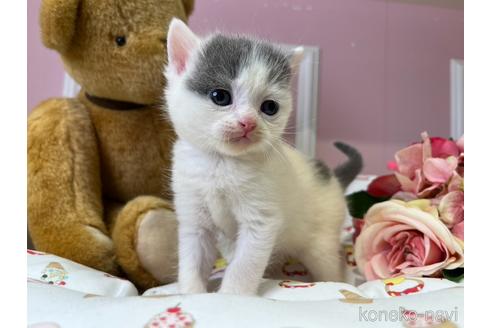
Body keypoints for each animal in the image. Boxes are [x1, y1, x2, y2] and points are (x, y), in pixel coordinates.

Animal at [164, 18, 362, 294]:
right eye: (220, 96)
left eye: (269, 107)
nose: (248, 122)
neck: (222, 164)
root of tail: (330, 176)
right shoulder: (194, 217)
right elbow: (192, 259)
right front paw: (193, 294)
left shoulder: (260, 220)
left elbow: (244, 265)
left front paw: (231, 296)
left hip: (320, 245)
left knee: (336, 267)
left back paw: (348, 283)